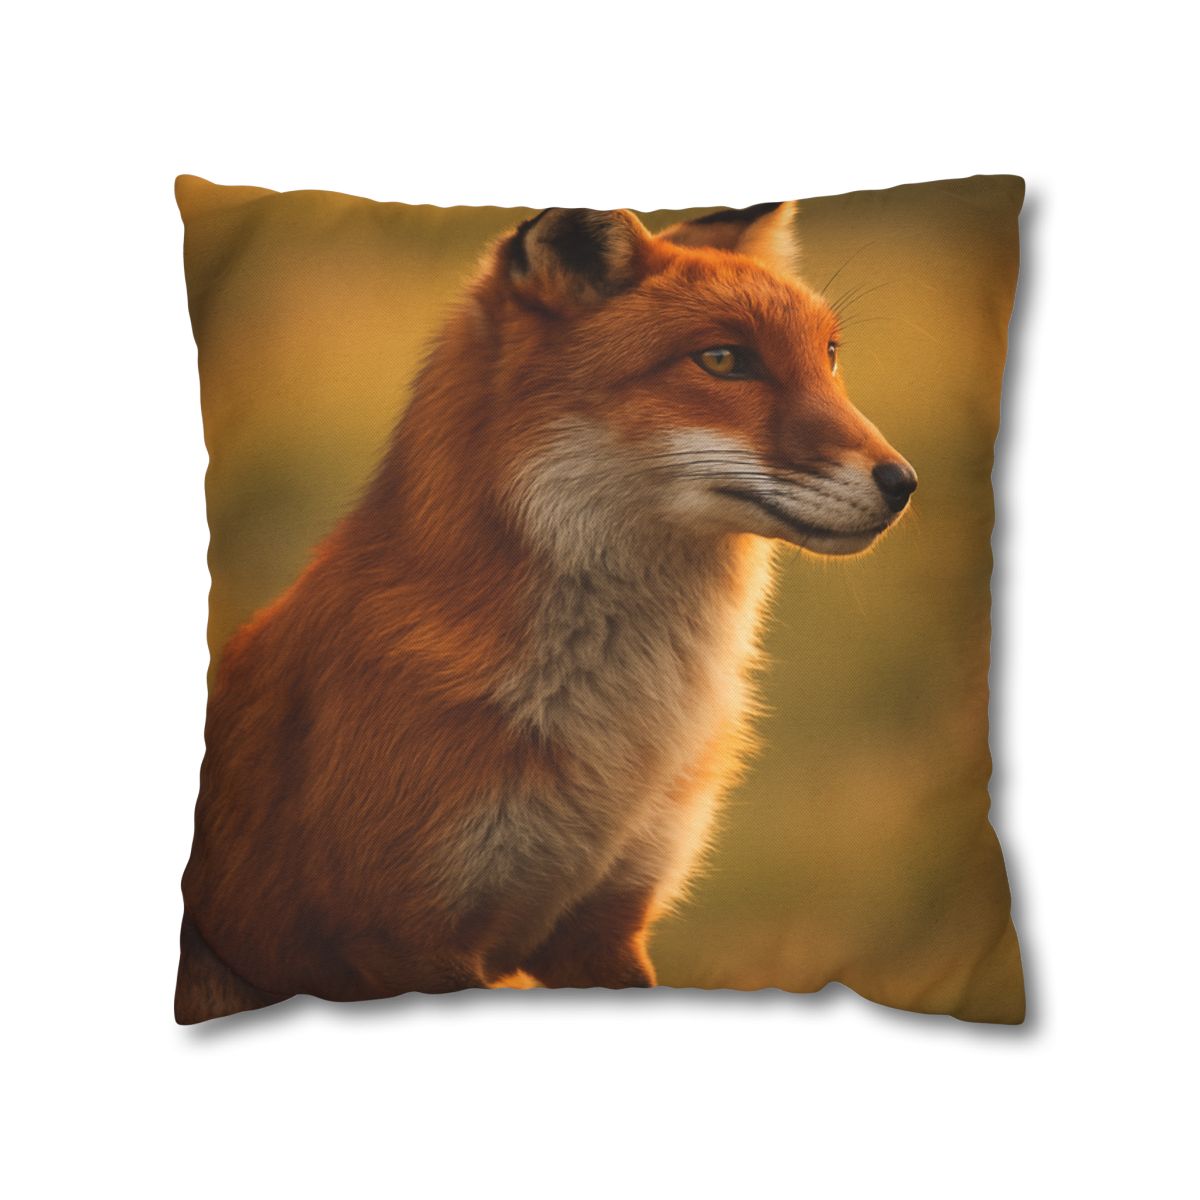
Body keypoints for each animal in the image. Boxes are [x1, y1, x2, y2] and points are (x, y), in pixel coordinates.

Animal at [176, 200, 917, 1023]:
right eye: (724, 360)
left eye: (830, 356)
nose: (904, 482)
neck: (624, 732)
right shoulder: (406, 937)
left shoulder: (606, 927)